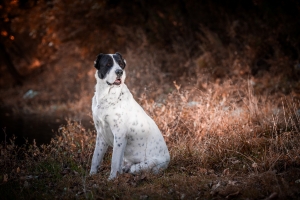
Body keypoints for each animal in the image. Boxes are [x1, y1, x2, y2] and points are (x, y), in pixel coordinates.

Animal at [89, 52, 170, 180]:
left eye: (121, 64)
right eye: (108, 64)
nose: (119, 72)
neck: (106, 96)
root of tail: (168, 160)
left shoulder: (119, 135)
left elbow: (114, 160)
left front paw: (111, 179)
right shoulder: (101, 135)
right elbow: (95, 158)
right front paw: (91, 176)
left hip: (149, 164)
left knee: (135, 168)